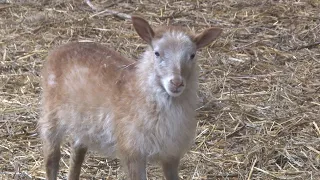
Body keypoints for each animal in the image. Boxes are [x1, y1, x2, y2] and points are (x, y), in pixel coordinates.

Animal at [38, 15, 221, 180]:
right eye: (157, 53)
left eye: (192, 55)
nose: (176, 83)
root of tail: (62, 48)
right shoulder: (132, 152)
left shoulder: (171, 154)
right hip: (51, 112)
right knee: (51, 157)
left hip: (83, 122)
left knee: (77, 151)